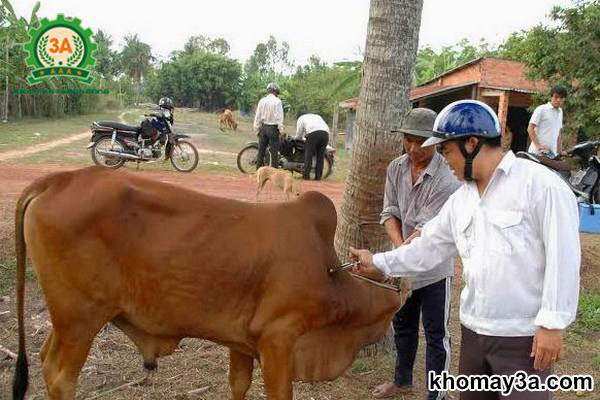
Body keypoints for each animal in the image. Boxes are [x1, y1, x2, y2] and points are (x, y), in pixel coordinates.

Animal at [12, 166, 404, 400]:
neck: (328, 272)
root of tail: (59, 178)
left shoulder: (242, 341)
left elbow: (238, 385)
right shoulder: (278, 338)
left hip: (67, 318)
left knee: (44, 356)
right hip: (82, 318)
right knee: (60, 377)